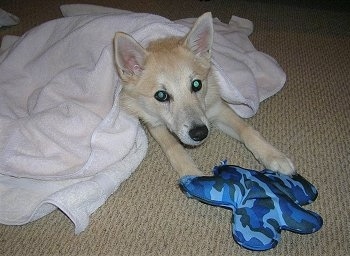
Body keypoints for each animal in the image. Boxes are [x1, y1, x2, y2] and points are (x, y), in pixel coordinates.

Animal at [113, 13, 294, 177]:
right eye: (161, 95)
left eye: (196, 84)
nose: (200, 133)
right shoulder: (153, 122)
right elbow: (173, 147)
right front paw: (192, 174)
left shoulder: (218, 108)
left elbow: (247, 129)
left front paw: (274, 156)